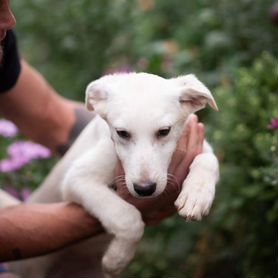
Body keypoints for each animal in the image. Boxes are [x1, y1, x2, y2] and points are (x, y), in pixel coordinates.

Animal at [60, 72, 219, 276]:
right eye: (122, 133)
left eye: (164, 131)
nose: (145, 189)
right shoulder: (76, 179)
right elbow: (128, 218)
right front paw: (116, 259)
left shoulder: (199, 144)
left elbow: (209, 160)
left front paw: (196, 196)